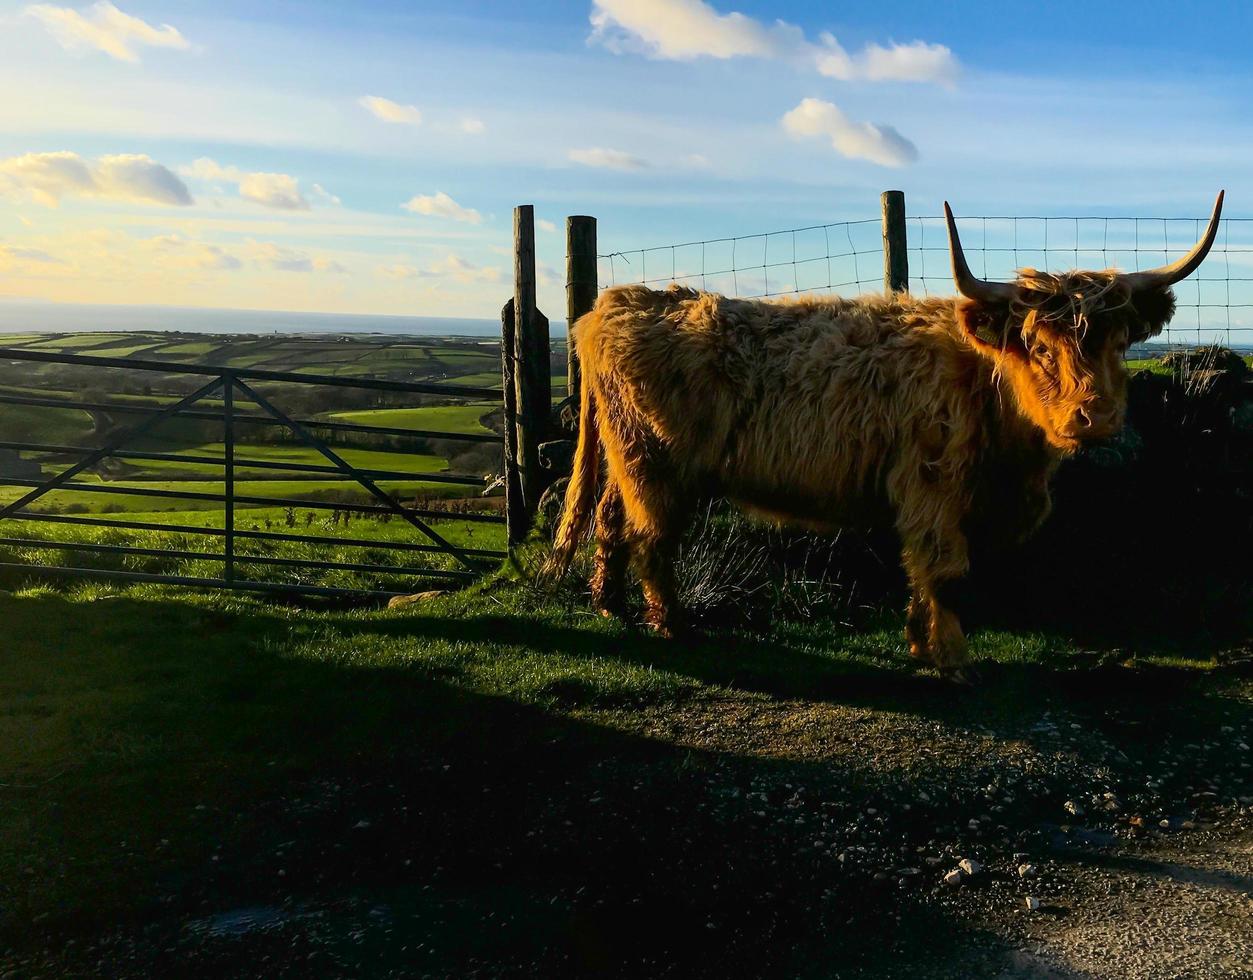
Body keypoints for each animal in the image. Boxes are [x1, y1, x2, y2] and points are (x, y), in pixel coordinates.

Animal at [548, 195, 1222, 681]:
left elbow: (922, 573)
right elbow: (944, 570)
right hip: (655, 463)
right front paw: (952, 660)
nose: (1095, 418)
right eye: (1036, 344)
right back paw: (673, 625)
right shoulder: (932, 487)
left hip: (626, 452)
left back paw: (609, 604)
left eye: (1121, 341)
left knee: (610, 520)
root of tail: (607, 307)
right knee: (650, 536)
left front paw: (921, 644)